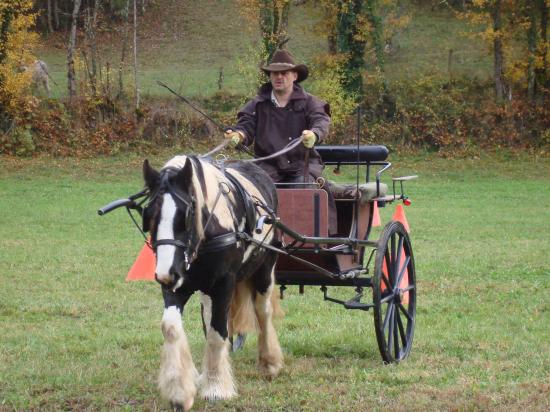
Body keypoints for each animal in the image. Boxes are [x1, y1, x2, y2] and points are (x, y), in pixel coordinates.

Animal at [142, 155, 284, 412]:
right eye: (149, 215)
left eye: (185, 216)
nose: (165, 274)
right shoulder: (177, 285)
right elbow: (172, 327)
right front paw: (180, 391)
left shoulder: (223, 283)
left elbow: (218, 334)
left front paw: (217, 387)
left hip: (265, 269)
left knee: (263, 311)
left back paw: (269, 361)